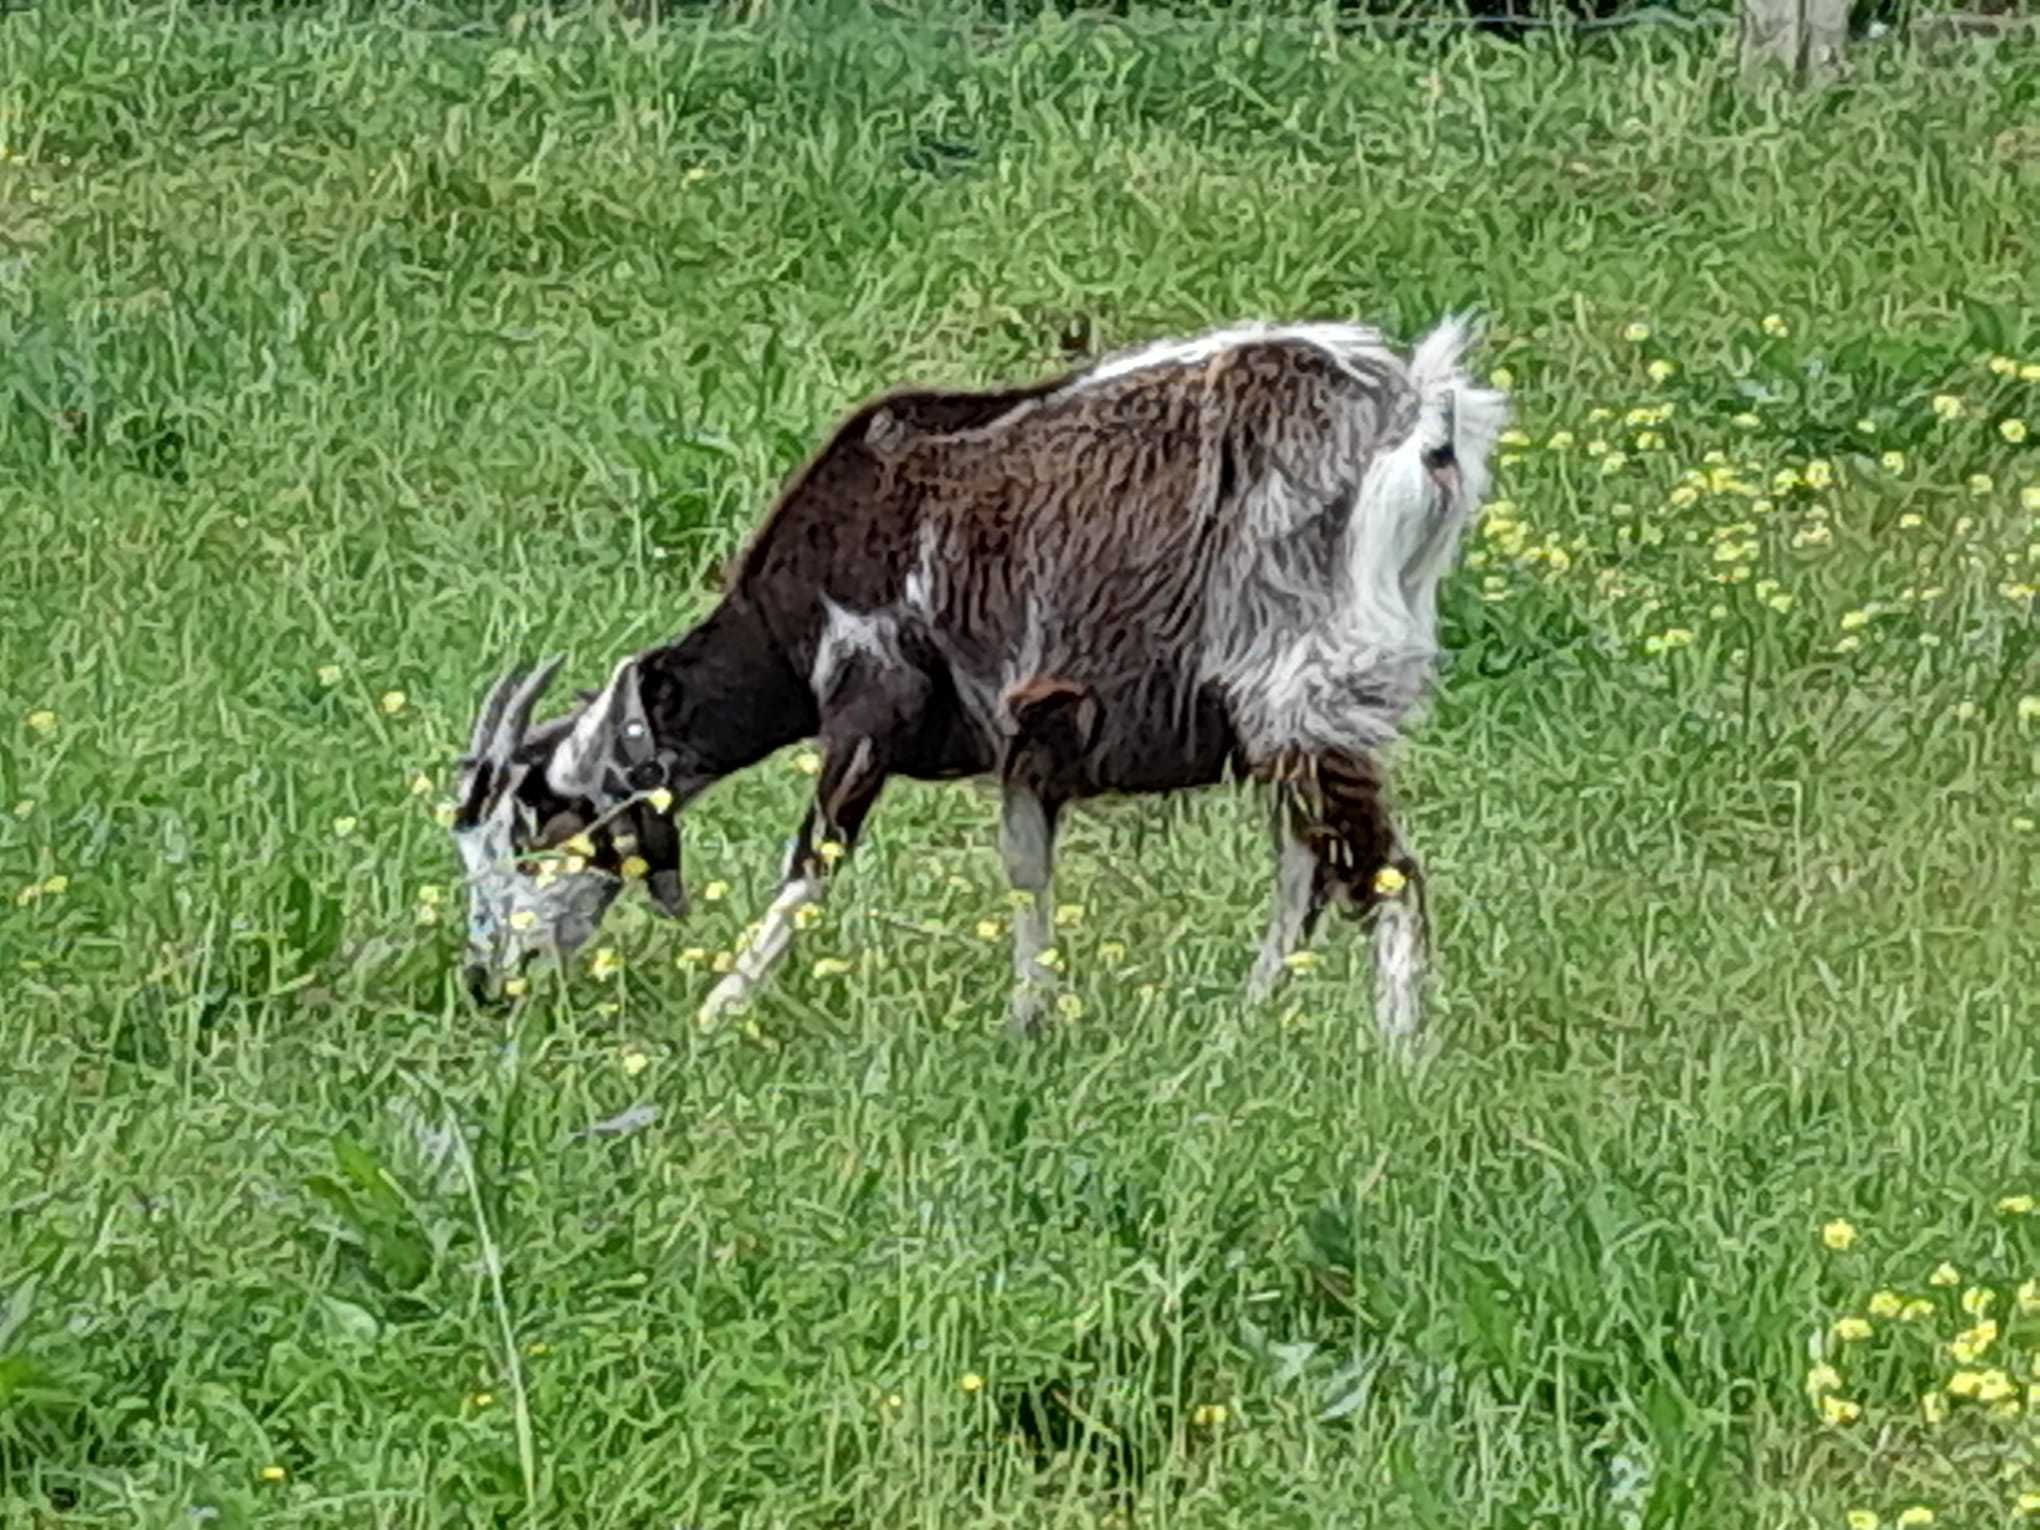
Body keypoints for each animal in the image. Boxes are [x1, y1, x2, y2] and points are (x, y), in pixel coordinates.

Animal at [446, 318, 1509, 1052]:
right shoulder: (1030, 743)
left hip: (1309, 690)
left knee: (1385, 872)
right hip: (1287, 722)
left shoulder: (871, 700)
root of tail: (1420, 420)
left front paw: (719, 1008)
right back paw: (1241, 1030)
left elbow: (815, 857)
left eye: (539, 822)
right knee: (1310, 869)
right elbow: (1028, 870)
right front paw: (1028, 1018)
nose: (484, 980)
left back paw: (1396, 1057)